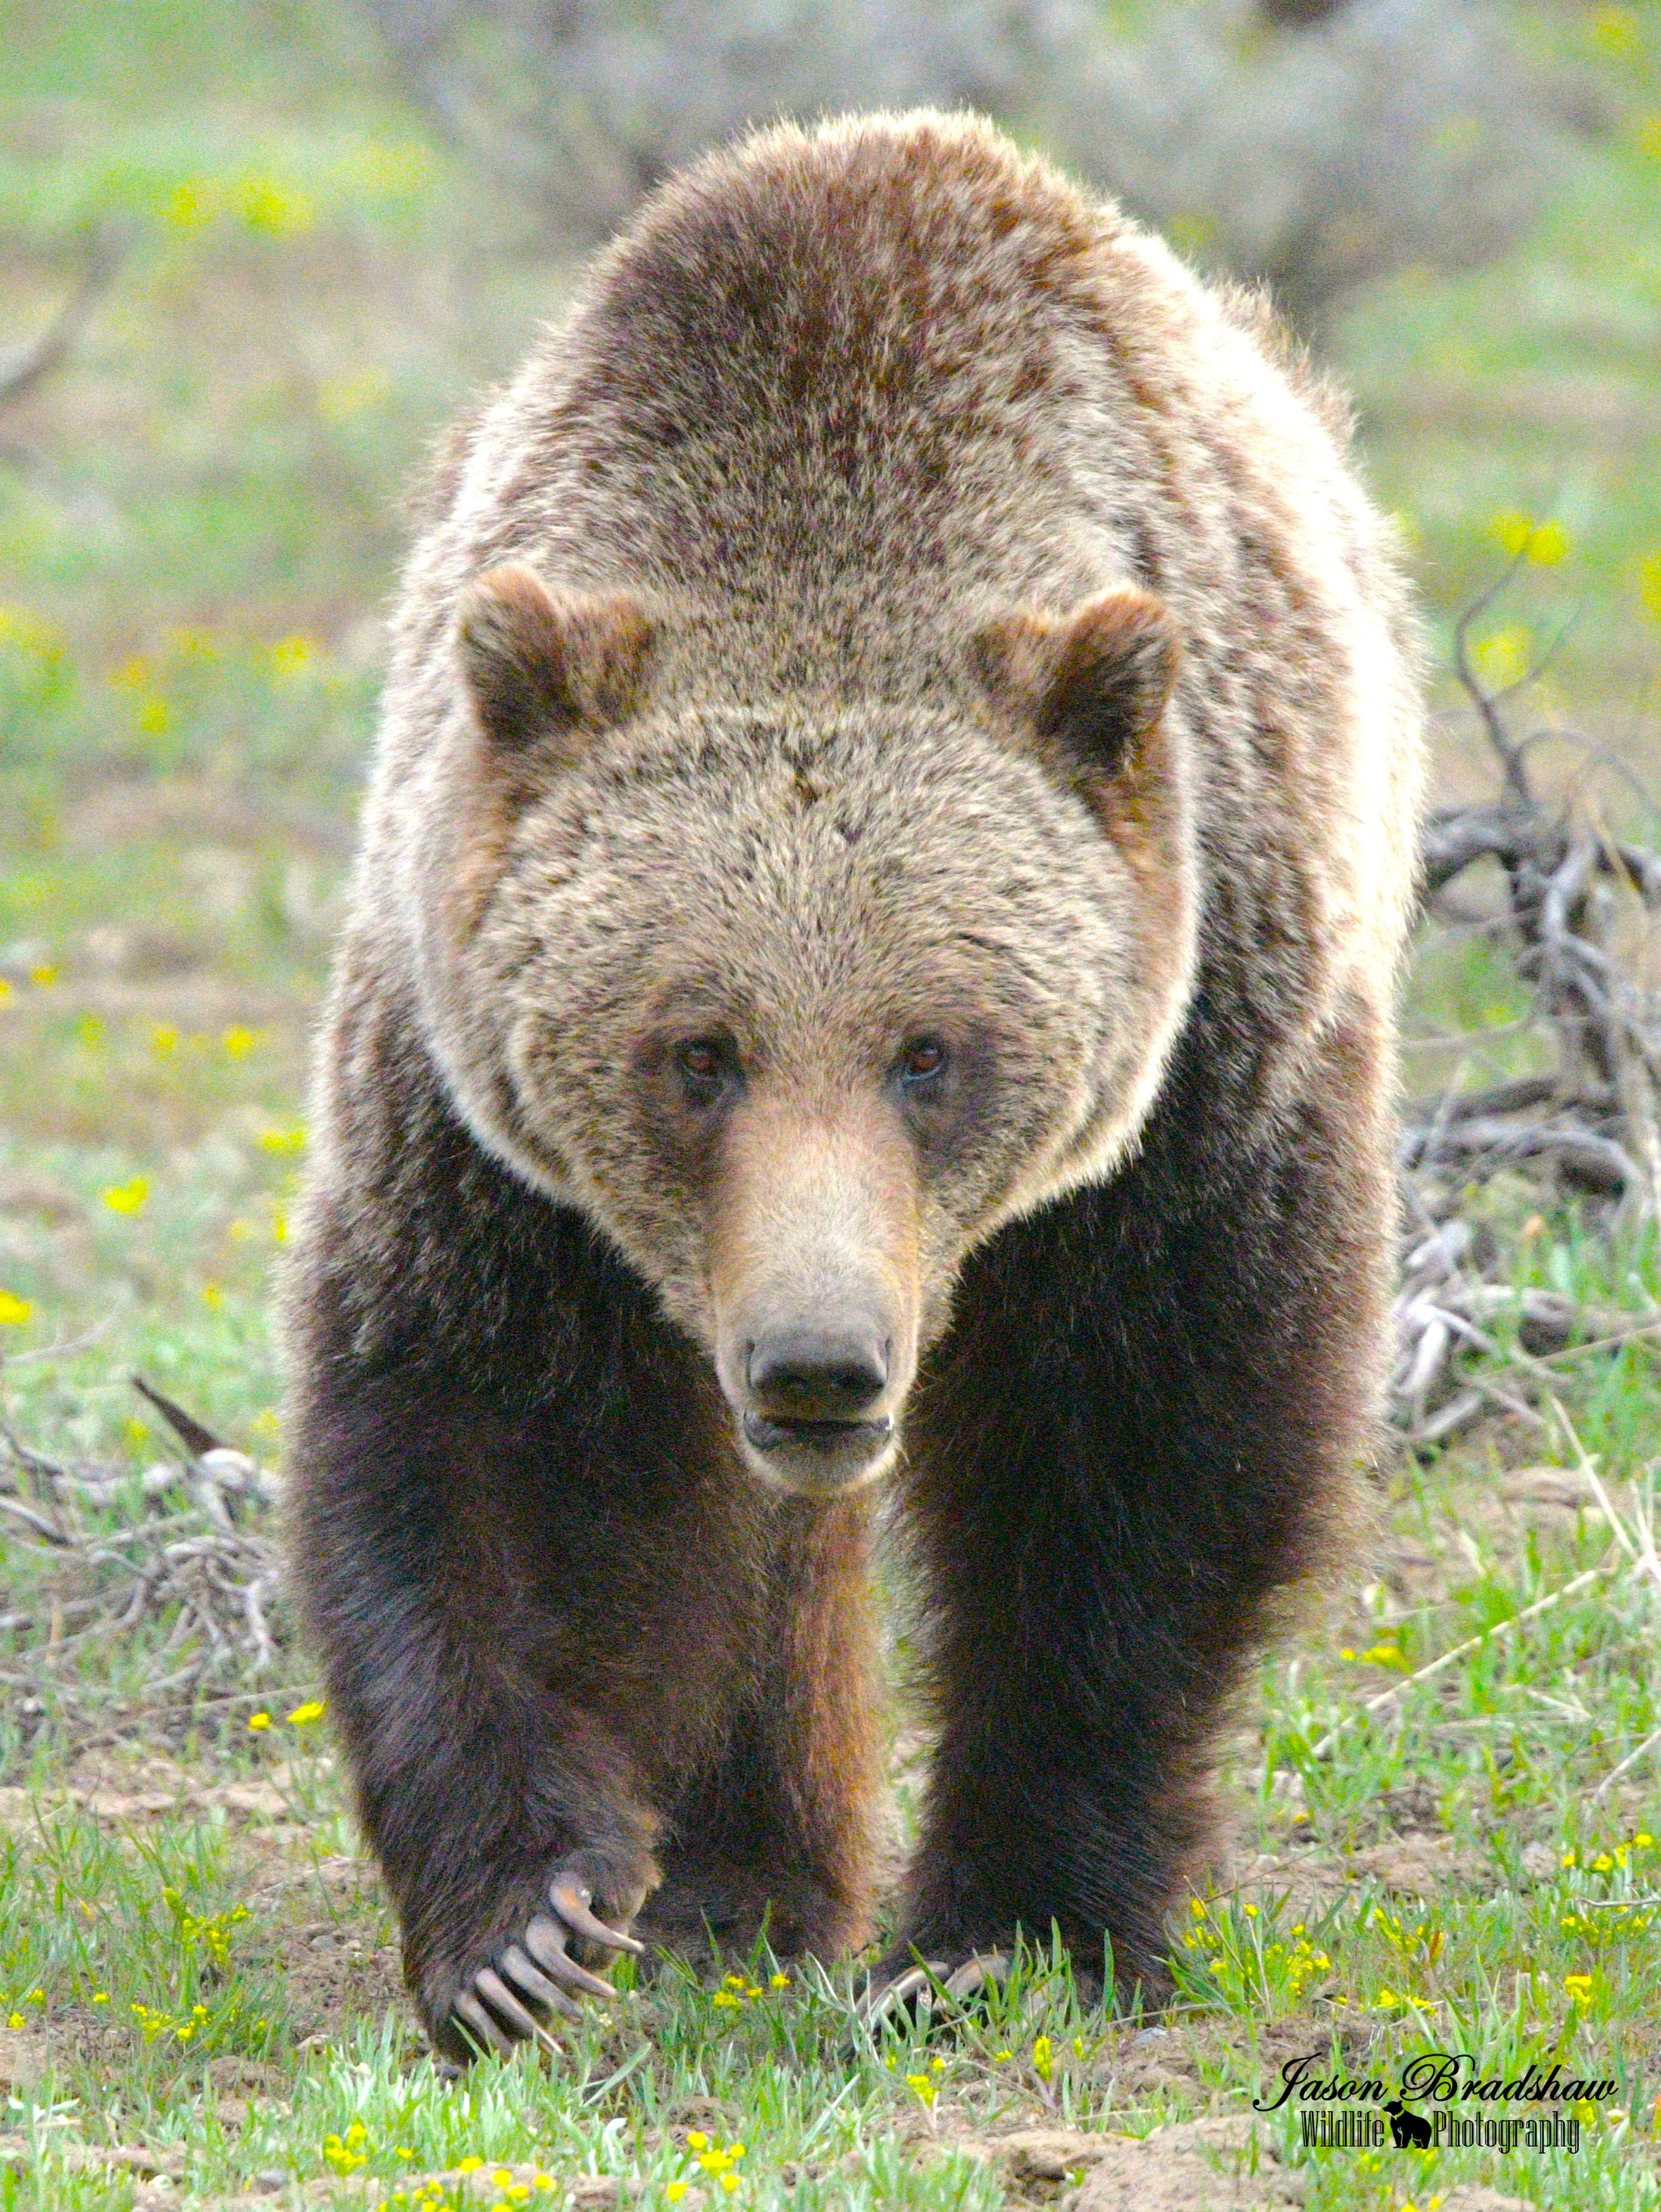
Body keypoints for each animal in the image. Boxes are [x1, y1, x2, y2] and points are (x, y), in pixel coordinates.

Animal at [280, 109, 1424, 2063]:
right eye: (696, 1050)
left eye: (930, 1049)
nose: (819, 1361)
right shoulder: (473, 1106)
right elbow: (478, 1433)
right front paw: (528, 1926)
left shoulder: (1208, 1063)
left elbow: (1133, 1457)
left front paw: (1009, 1924)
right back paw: (740, 1887)